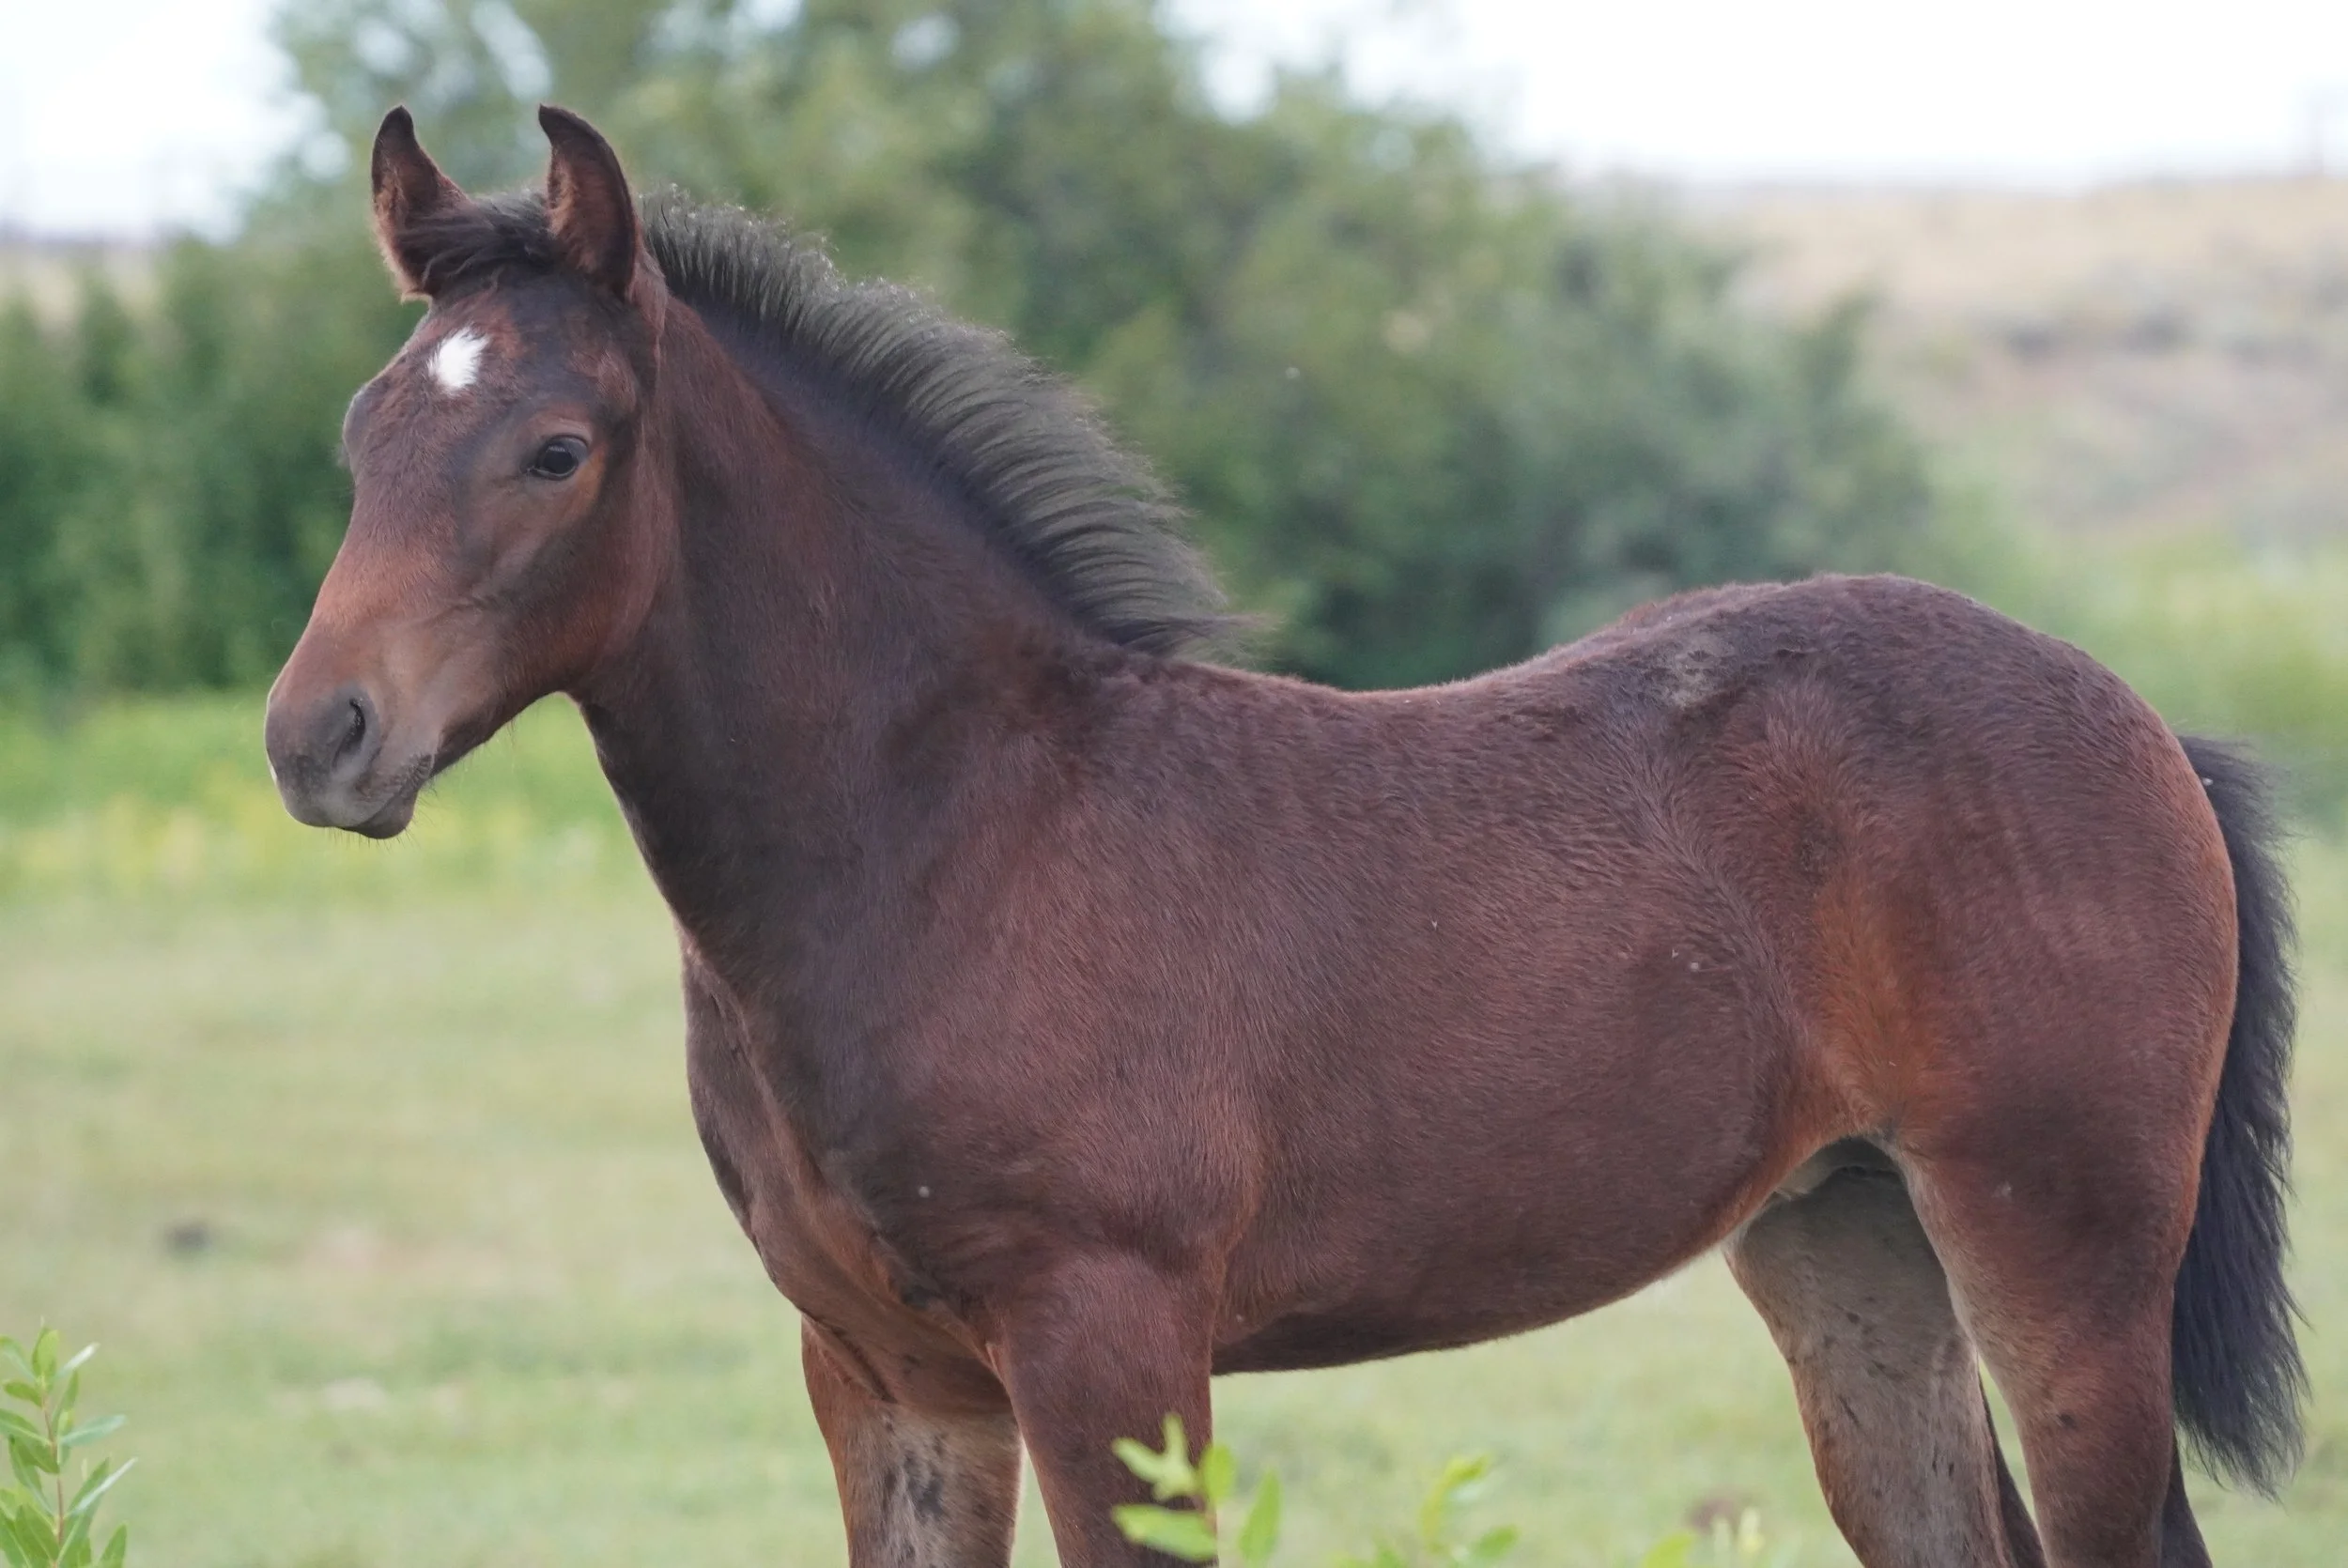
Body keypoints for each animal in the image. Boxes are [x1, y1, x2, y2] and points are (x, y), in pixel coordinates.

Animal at [263, 105, 2303, 1568]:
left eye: (554, 450)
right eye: (360, 434)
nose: (316, 739)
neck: (947, 828)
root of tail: (2141, 722)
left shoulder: (1106, 1346)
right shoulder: (886, 1378)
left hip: (2058, 1240)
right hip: (1849, 1239)